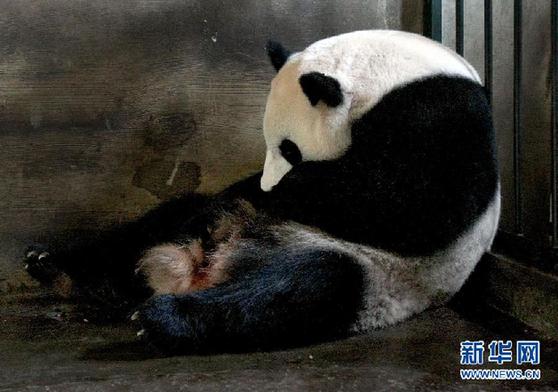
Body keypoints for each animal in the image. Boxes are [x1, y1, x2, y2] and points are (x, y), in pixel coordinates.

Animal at [24, 32, 500, 354]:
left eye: (289, 148)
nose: (269, 186)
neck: (389, 74)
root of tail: (205, 267)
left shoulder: (446, 119)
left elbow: (408, 204)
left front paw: (291, 190)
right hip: (200, 223)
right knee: (159, 225)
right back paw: (57, 267)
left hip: (377, 277)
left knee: (301, 290)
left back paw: (162, 319)